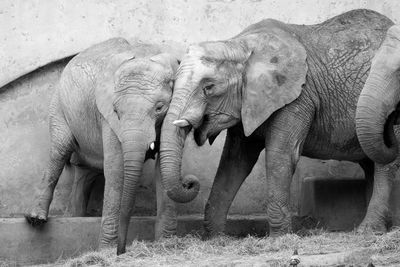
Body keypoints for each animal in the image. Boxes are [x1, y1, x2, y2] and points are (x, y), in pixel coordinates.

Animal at [25, 37, 180, 255]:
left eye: (159, 108)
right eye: (116, 111)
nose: (122, 251)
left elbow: (165, 165)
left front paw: (167, 244)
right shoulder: (106, 115)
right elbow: (115, 168)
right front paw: (107, 250)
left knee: (86, 172)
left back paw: (74, 217)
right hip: (59, 105)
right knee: (59, 150)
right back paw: (36, 219)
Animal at [159, 8, 400, 239]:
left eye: (208, 87)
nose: (190, 182)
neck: (239, 44)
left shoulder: (298, 97)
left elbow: (280, 155)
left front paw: (279, 237)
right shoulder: (249, 103)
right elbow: (235, 161)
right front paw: (217, 238)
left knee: (385, 165)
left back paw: (369, 230)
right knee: (372, 163)